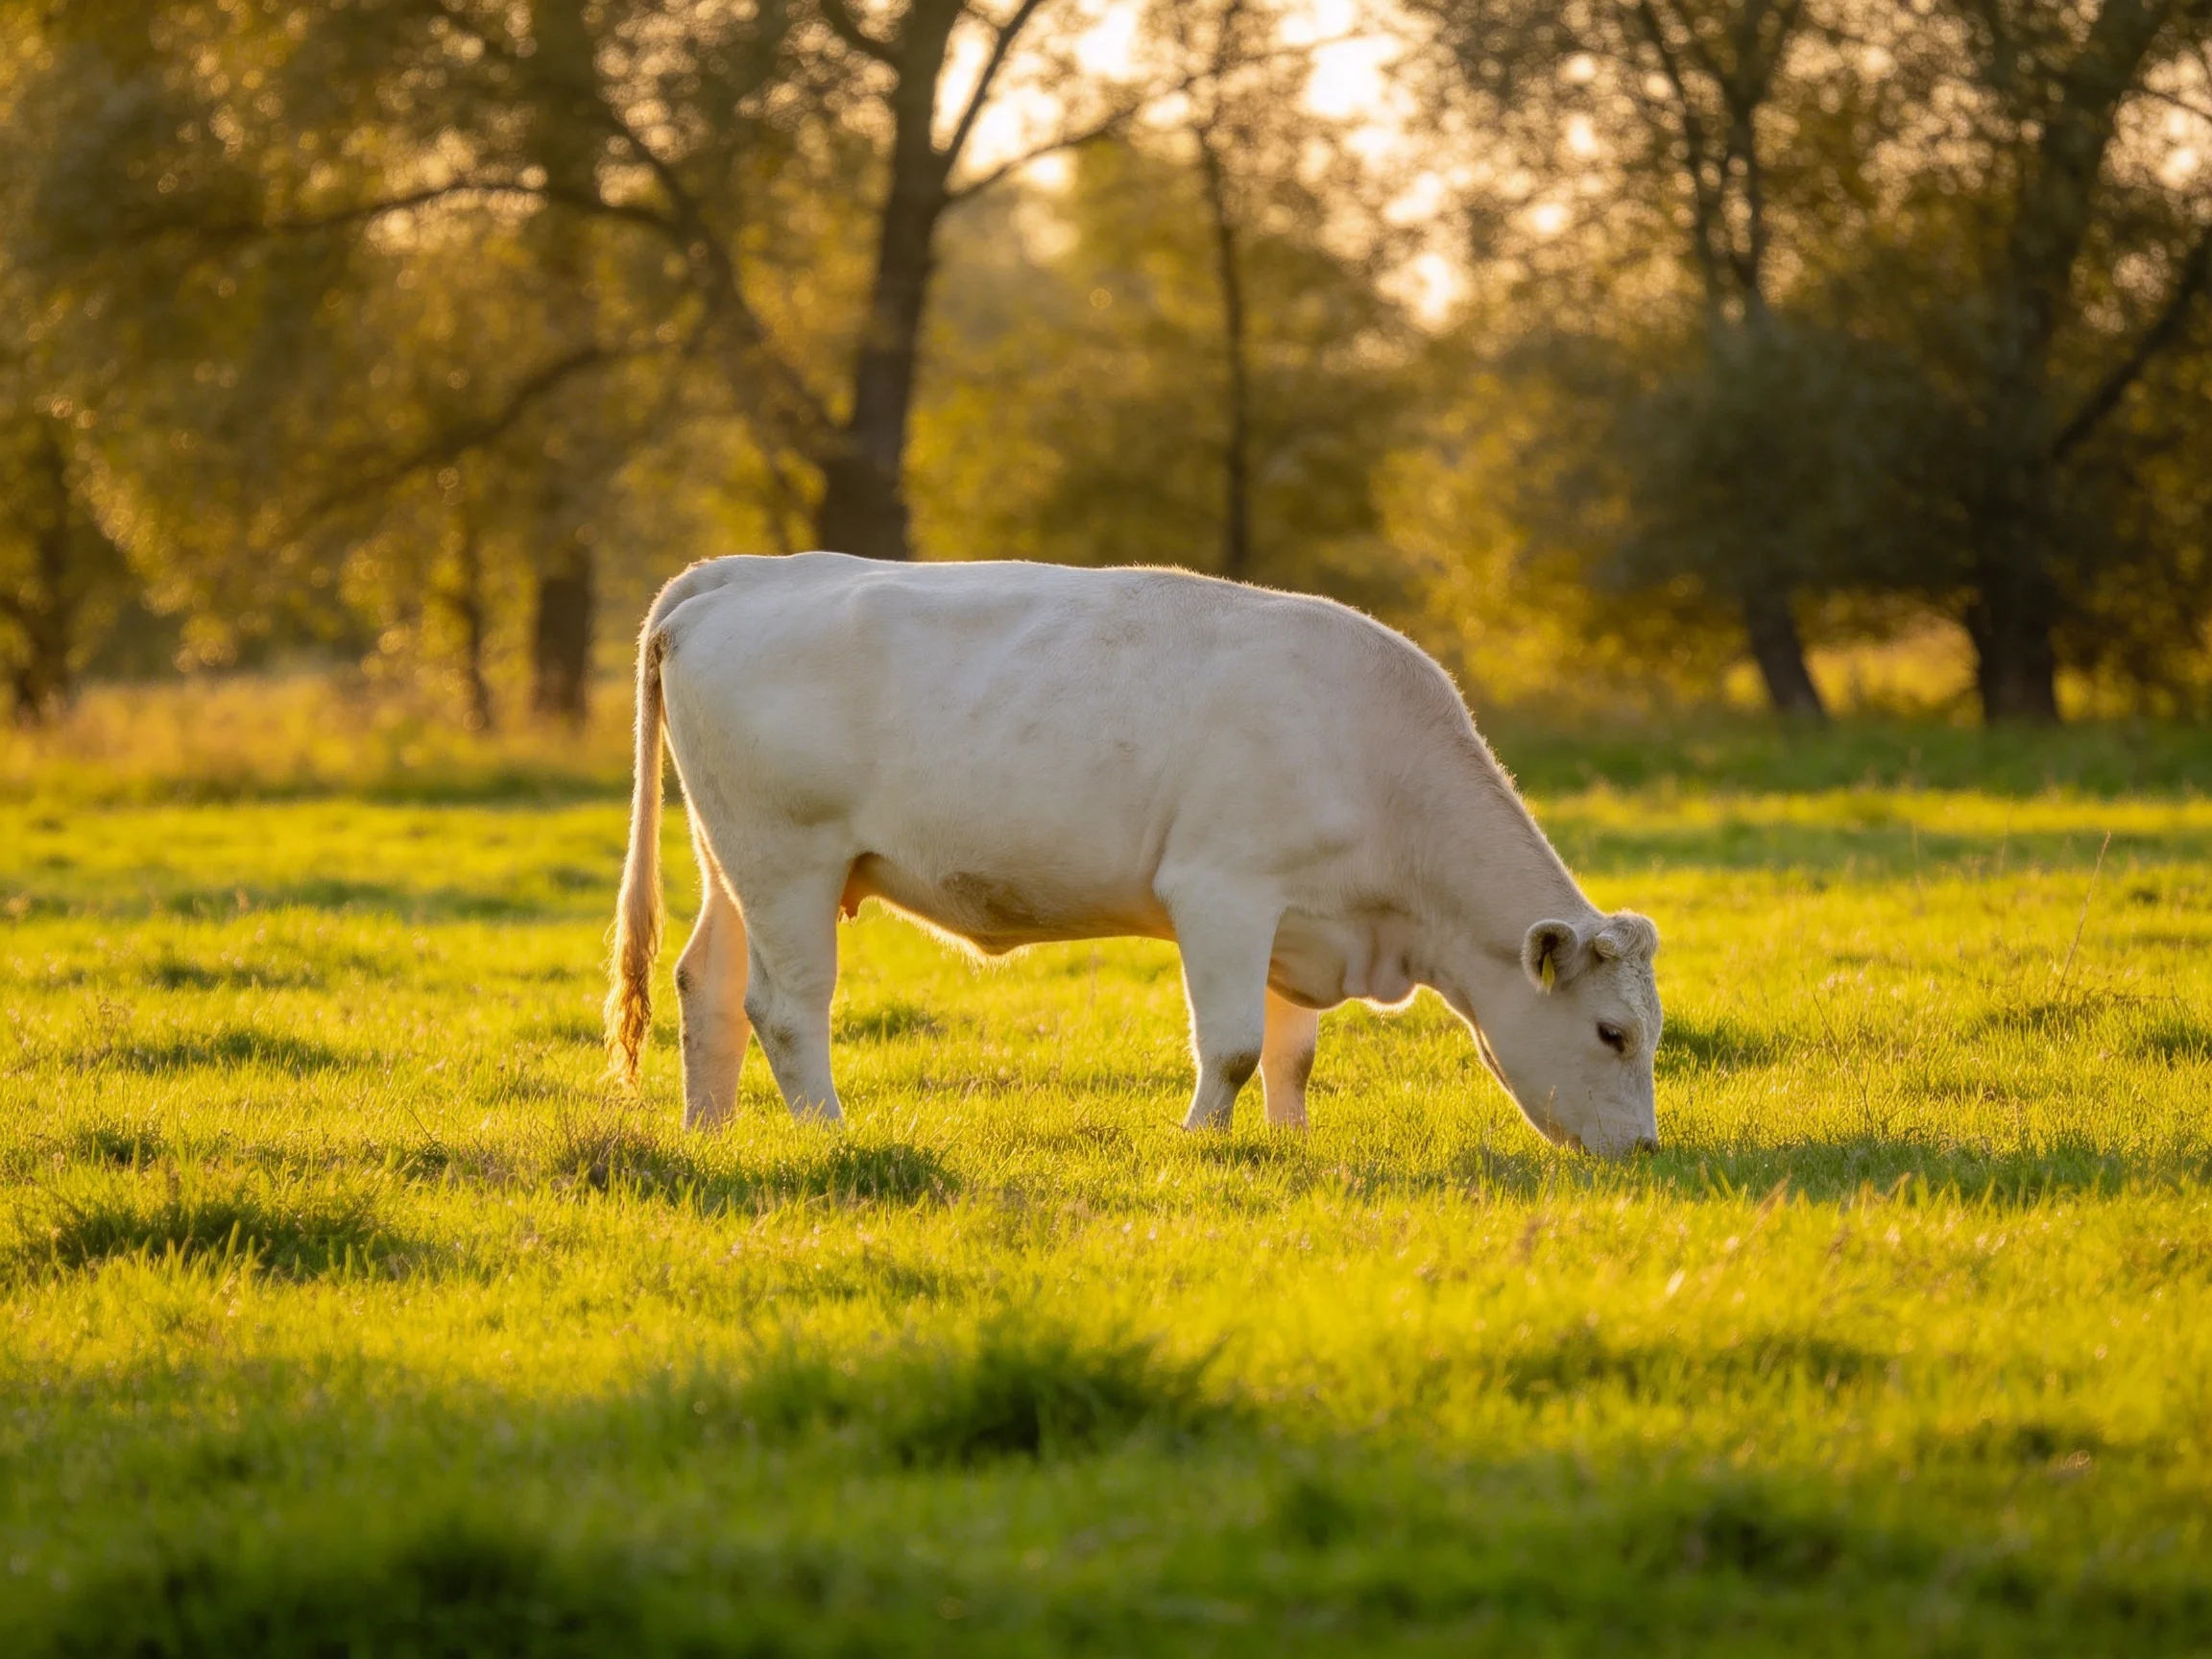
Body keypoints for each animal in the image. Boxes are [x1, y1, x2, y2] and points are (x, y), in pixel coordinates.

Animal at [606, 553, 1662, 1155]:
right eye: (1613, 1032)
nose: (1647, 1150)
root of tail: (736, 572)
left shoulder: (1296, 916)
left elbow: (1291, 1052)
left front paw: (1288, 1143)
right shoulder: (1222, 891)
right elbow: (1233, 1043)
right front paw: (1201, 1140)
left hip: (734, 859)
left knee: (706, 981)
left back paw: (712, 1133)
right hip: (789, 860)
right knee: (786, 1008)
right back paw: (826, 1132)